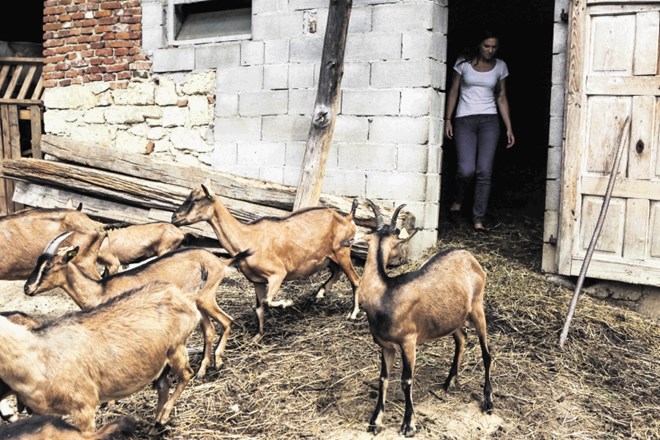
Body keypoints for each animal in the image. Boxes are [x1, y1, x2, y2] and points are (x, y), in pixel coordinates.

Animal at [0, 282, 200, 434]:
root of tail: (182, 295)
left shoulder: (84, 406)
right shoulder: (42, 412)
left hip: (176, 346)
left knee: (186, 374)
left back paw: (163, 418)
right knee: (163, 386)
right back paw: (155, 425)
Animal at [24, 234, 249, 378]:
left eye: (49, 267)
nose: (27, 288)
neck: (100, 290)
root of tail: (220, 262)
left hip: (206, 299)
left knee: (227, 321)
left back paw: (218, 363)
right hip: (199, 304)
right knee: (209, 330)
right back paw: (202, 372)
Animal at [170, 182, 360, 344]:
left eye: (196, 199)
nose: (174, 217)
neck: (247, 237)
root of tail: (348, 219)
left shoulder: (277, 273)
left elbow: (267, 301)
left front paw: (287, 302)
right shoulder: (257, 281)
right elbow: (259, 308)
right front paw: (256, 337)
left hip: (342, 252)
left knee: (356, 280)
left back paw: (352, 313)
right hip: (329, 257)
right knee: (337, 272)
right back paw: (320, 293)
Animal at [358, 201, 492, 438]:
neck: (385, 295)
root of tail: (468, 256)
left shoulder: (408, 342)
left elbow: (406, 380)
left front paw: (408, 425)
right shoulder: (386, 346)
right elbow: (383, 379)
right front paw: (375, 422)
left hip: (477, 306)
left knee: (486, 353)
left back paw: (488, 401)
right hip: (453, 318)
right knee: (462, 338)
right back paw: (450, 381)